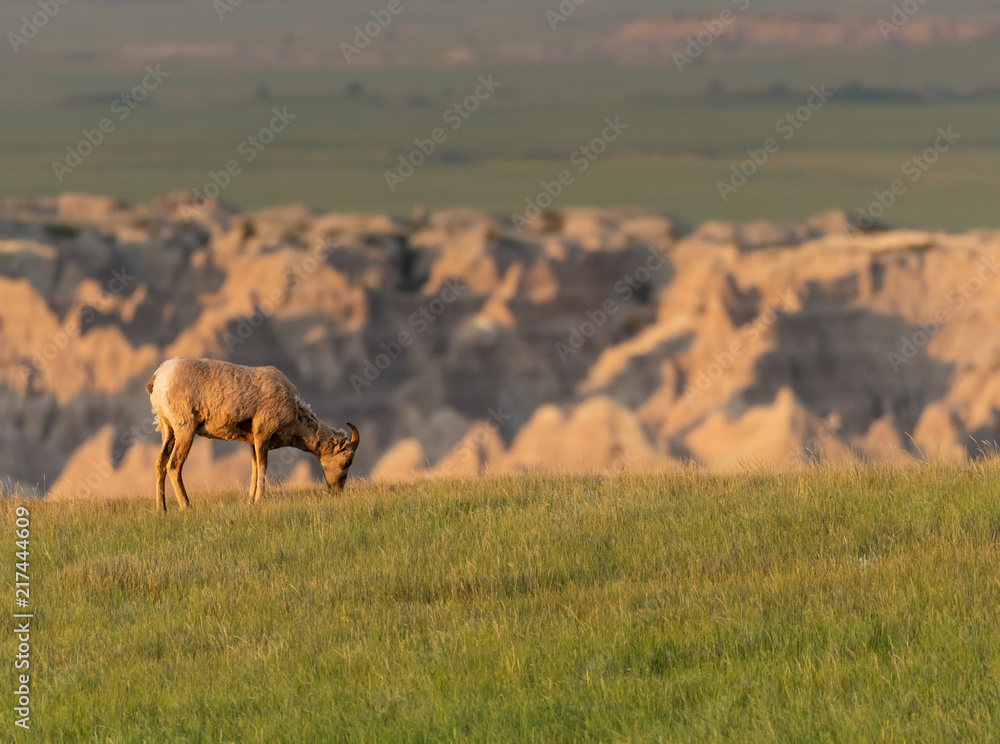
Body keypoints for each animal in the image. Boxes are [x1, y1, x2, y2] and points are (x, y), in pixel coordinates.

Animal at [145, 356, 356, 508]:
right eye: (346, 462)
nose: (337, 492)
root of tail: (158, 376)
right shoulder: (263, 434)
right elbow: (263, 466)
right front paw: (260, 500)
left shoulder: (252, 442)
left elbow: (254, 468)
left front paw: (250, 501)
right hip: (185, 431)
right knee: (173, 465)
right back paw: (186, 506)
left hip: (168, 431)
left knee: (160, 463)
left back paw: (161, 509)